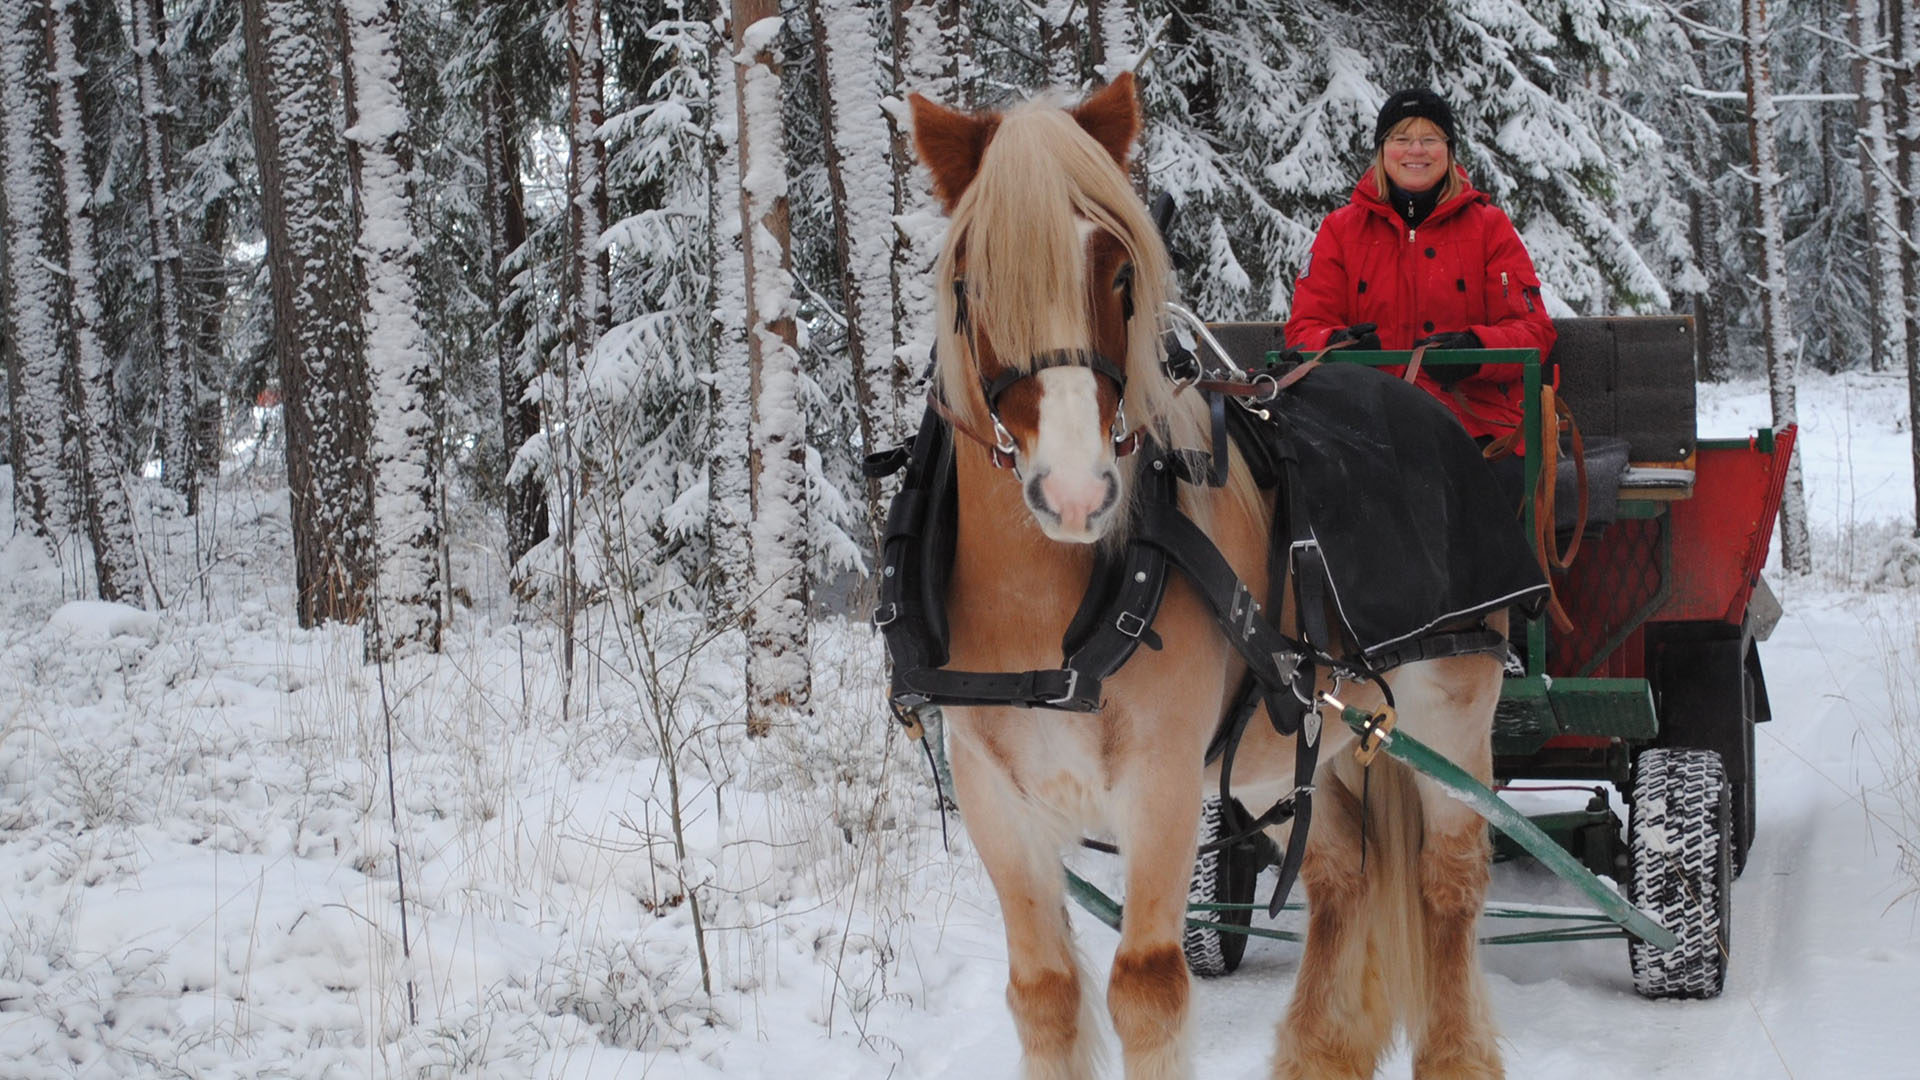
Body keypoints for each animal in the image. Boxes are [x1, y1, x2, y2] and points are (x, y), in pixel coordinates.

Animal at [906, 71, 1520, 1068]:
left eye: (1121, 273)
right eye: (974, 279)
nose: (1076, 491)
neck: (1043, 618)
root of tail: (1417, 390)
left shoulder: (1160, 786)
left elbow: (1148, 990)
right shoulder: (997, 797)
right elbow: (1042, 994)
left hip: (1453, 710)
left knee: (1449, 881)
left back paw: (1453, 1054)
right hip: (1305, 745)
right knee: (1341, 875)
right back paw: (1319, 1055)